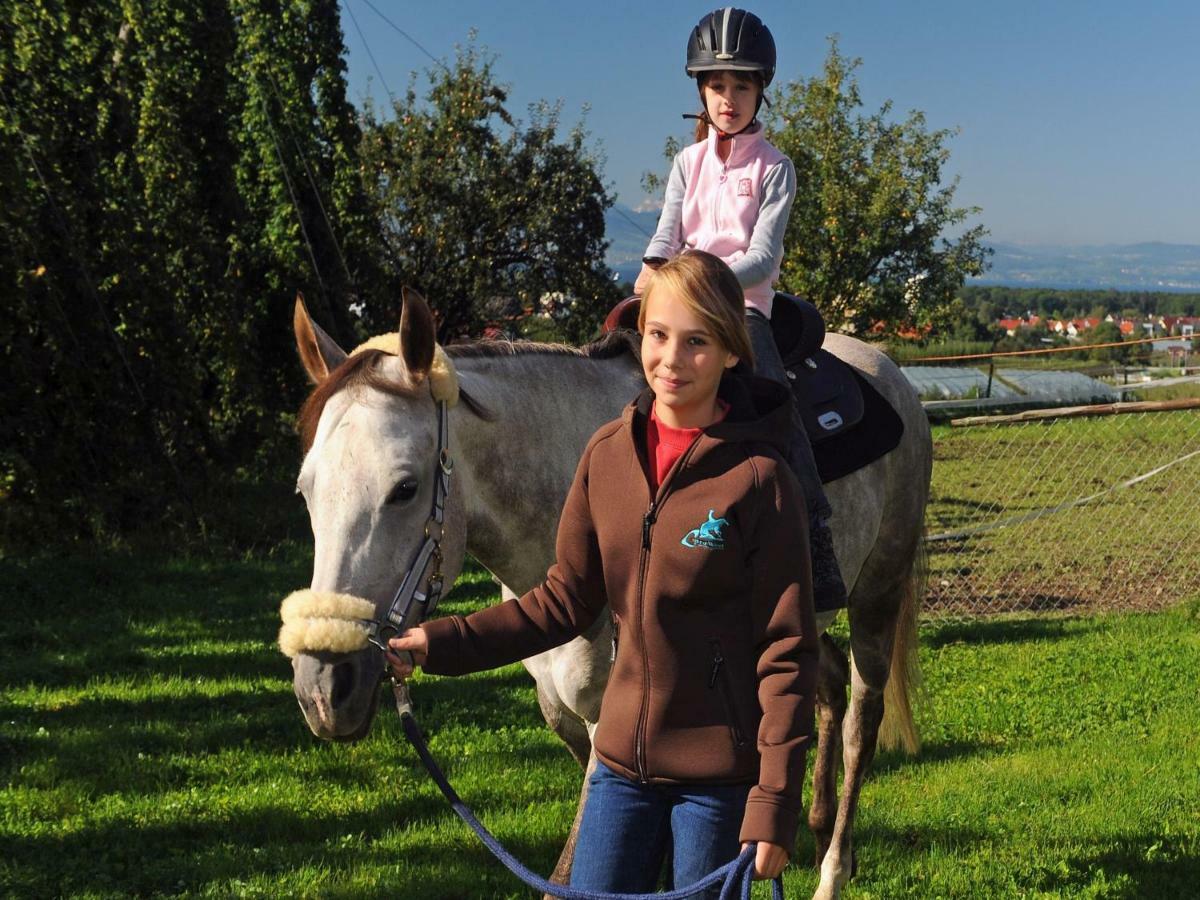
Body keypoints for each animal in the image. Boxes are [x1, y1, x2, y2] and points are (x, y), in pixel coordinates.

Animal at [285, 290, 931, 900]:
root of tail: (887, 369)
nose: (324, 688)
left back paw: (833, 871)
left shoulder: (612, 725)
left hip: (877, 594)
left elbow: (571, 874)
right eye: (305, 489)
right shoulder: (566, 714)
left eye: (405, 487)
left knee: (860, 720)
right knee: (823, 686)